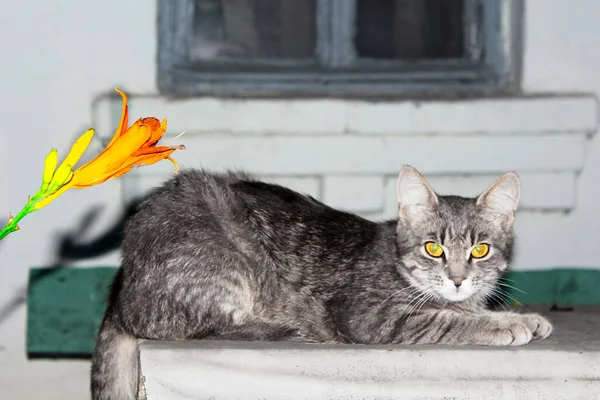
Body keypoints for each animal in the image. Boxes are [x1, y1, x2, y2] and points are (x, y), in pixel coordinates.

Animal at [90, 164, 552, 398]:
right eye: (433, 249)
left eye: (481, 250)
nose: (457, 279)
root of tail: (123, 284)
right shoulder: (370, 317)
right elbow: (447, 319)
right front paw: (508, 323)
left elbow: (470, 309)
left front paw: (516, 314)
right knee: (178, 324)